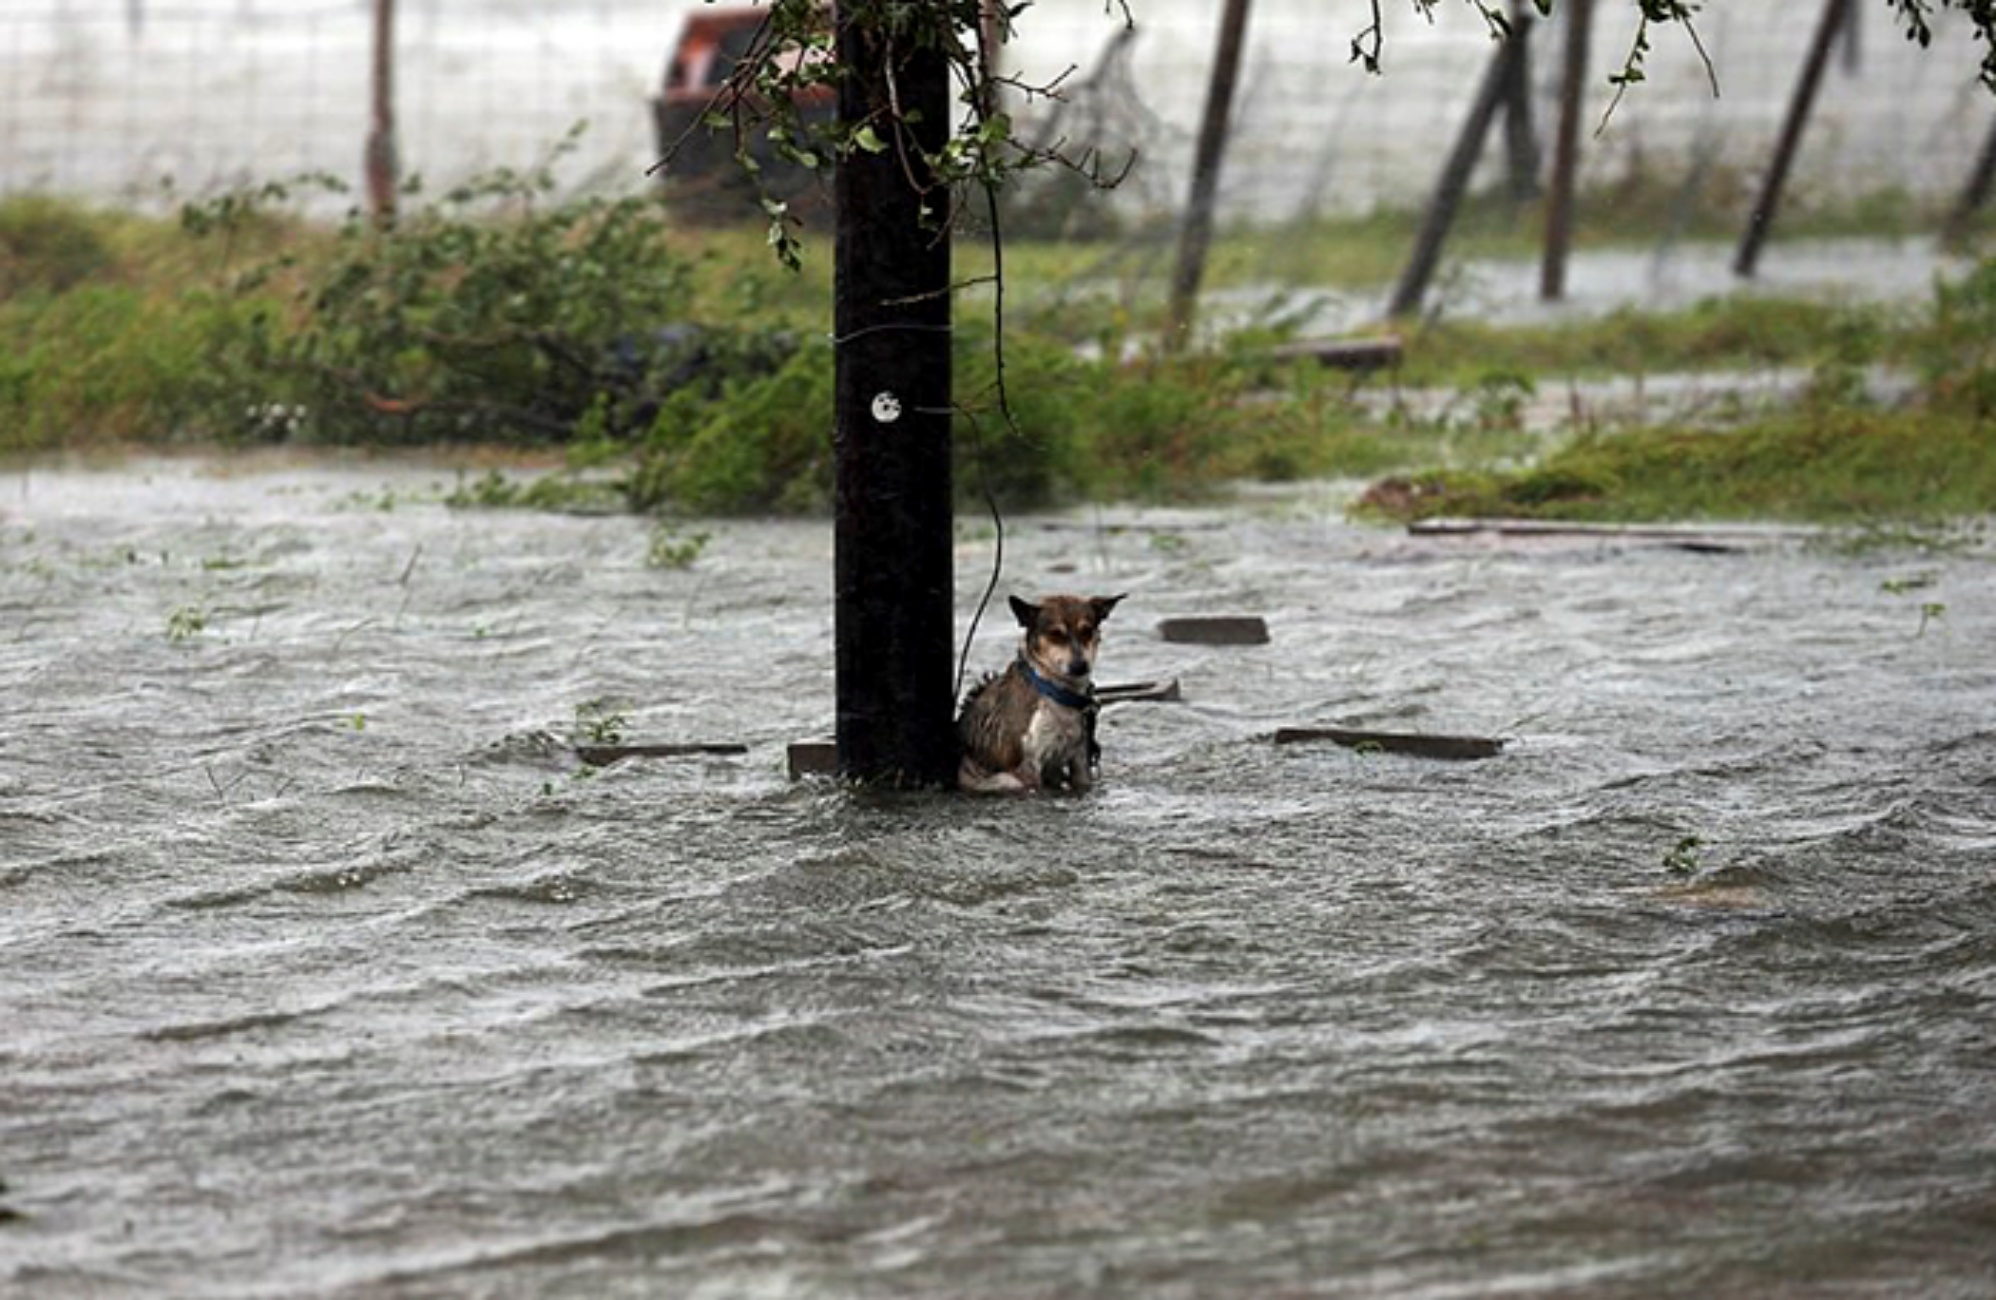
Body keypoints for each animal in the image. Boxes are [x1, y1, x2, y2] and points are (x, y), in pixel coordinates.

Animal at [954, 599, 1125, 794]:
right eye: (1055, 634)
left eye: (1086, 631)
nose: (1080, 666)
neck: (1055, 691)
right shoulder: (1029, 767)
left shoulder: (1080, 757)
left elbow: (1082, 782)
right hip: (1002, 779)